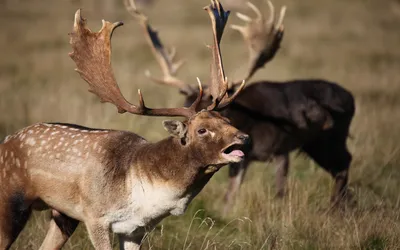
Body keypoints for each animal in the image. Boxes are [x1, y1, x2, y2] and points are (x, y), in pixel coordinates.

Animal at [0, 0, 248, 249]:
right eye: (202, 130)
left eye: (227, 120)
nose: (243, 137)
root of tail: (5, 141)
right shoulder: (95, 216)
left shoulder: (135, 230)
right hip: (10, 200)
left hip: (62, 215)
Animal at [132, 0, 356, 213]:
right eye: (185, 105)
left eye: (209, 106)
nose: (185, 137)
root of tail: (351, 98)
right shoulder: (243, 158)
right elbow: (230, 194)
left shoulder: (281, 148)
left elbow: (280, 191)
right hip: (314, 144)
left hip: (331, 137)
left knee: (344, 163)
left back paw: (336, 207)